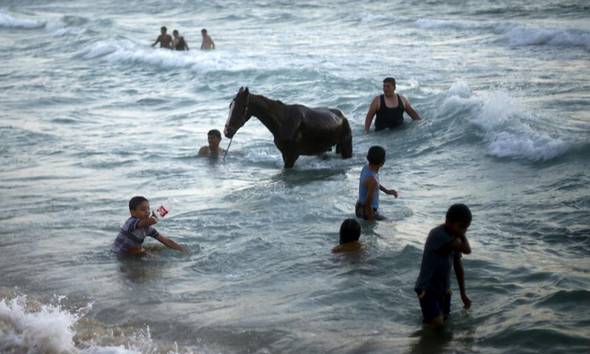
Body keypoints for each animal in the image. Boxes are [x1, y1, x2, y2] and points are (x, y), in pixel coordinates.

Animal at [222, 87, 352, 167]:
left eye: (243, 106)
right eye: (230, 105)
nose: (227, 131)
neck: (283, 121)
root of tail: (342, 116)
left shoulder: (291, 155)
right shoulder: (285, 154)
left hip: (346, 145)